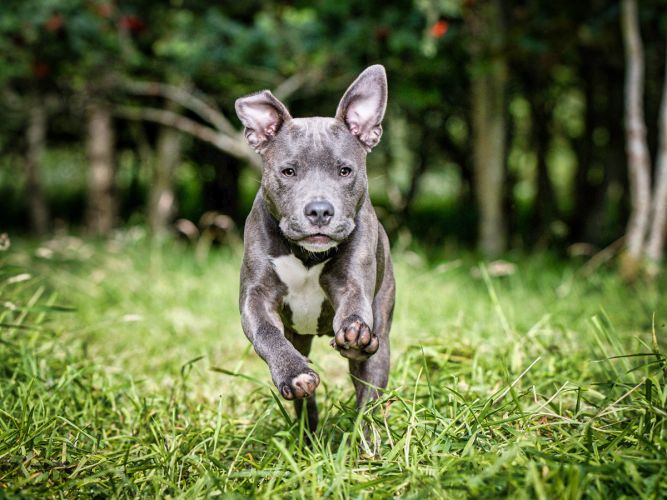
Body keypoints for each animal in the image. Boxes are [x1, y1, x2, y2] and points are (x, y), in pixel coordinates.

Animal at [235, 65, 394, 434]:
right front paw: (293, 375)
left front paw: (354, 331)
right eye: (288, 171)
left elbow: (353, 304)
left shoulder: (352, 282)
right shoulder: (255, 297)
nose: (320, 211)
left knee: (369, 394)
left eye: (345, 170)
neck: (306, 255)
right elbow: (266, 332)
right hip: (299, 337)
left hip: (381, 334)